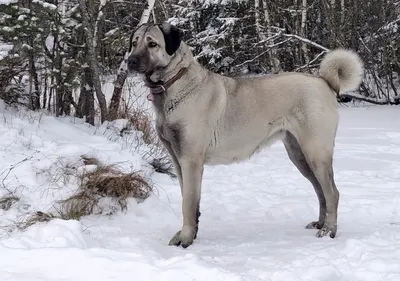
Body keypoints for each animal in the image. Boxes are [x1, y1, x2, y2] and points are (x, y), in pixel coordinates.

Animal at [126, 21, 364, 246]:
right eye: (134, 42)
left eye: (152, 44)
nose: (130, 61)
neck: (175, 82)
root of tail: (324, 81)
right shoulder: (178, 160)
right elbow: (190, 199)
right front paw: (191, 233)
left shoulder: (190, 160)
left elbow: (188, 203)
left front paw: (185, 238)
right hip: (300, 155)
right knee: (321, 191)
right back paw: (321, 224)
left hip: (315, 152)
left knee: (332, 193)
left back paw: (329, 230)